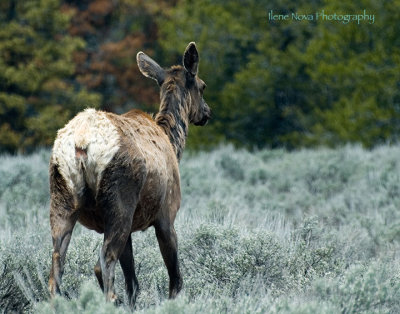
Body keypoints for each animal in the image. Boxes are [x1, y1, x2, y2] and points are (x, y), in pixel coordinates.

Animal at [48, 42, 211, 306]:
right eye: (202, 86)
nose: (207, 112)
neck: (173, 143)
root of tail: (82, 143)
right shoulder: (167, 214)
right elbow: (175, 279)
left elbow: (133, 283)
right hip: (120, 201)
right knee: (103, 261)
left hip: (62, 199)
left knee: (56, 265)